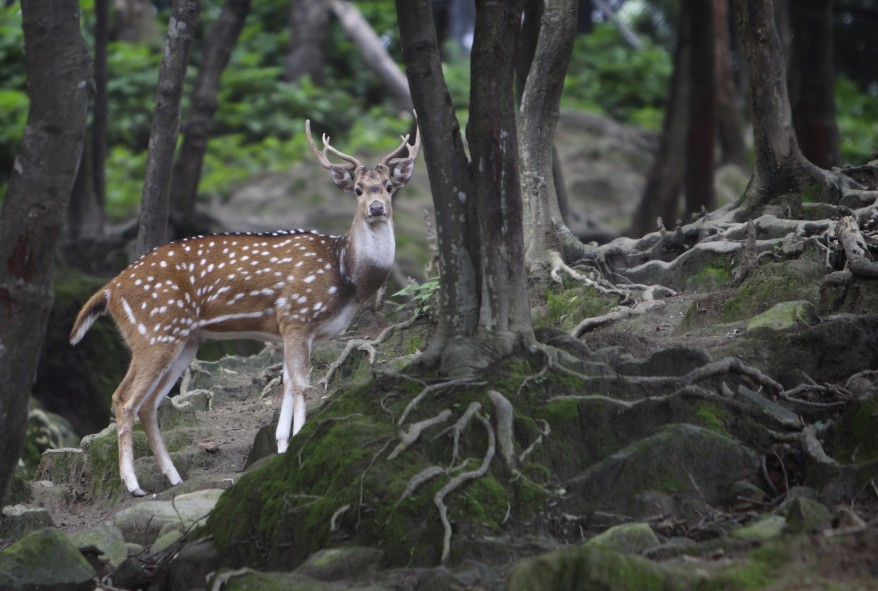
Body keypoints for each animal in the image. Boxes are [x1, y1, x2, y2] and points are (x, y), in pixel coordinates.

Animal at [70, 118, 422, 498]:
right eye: (357, 189)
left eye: (389, 187)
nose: (377, 208)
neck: (346, 275)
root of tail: (110, 288)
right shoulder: (297, 316)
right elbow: (301, 384)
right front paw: (298, 444)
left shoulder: (295, 331)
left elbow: (287, 381)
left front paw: (282, 444)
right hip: (155, 332)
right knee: (124, 398)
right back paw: (134, 485)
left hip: (185, 341)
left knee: (150, 404)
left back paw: (174, 477)